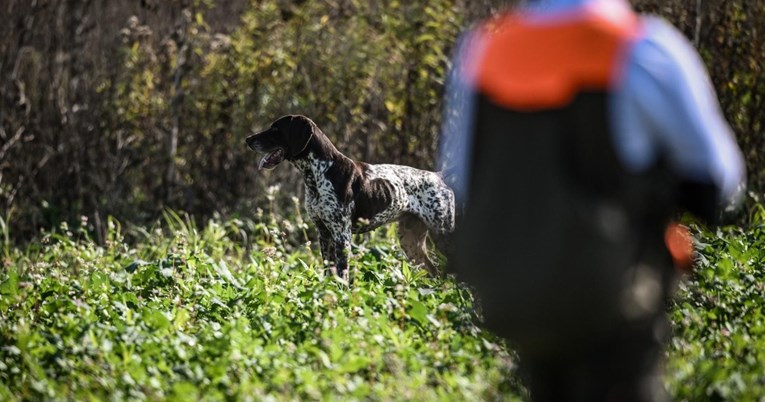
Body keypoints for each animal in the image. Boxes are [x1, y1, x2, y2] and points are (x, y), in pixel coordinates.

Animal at [246, 114, 454, 278]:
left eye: (275, 129)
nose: (248, 139)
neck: (319, 172)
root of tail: (438, 177)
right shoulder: (324, 233)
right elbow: (328, 272)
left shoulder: (342, 235)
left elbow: (342, 275)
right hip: (410, 241)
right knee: (434, 273)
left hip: (444, 235)